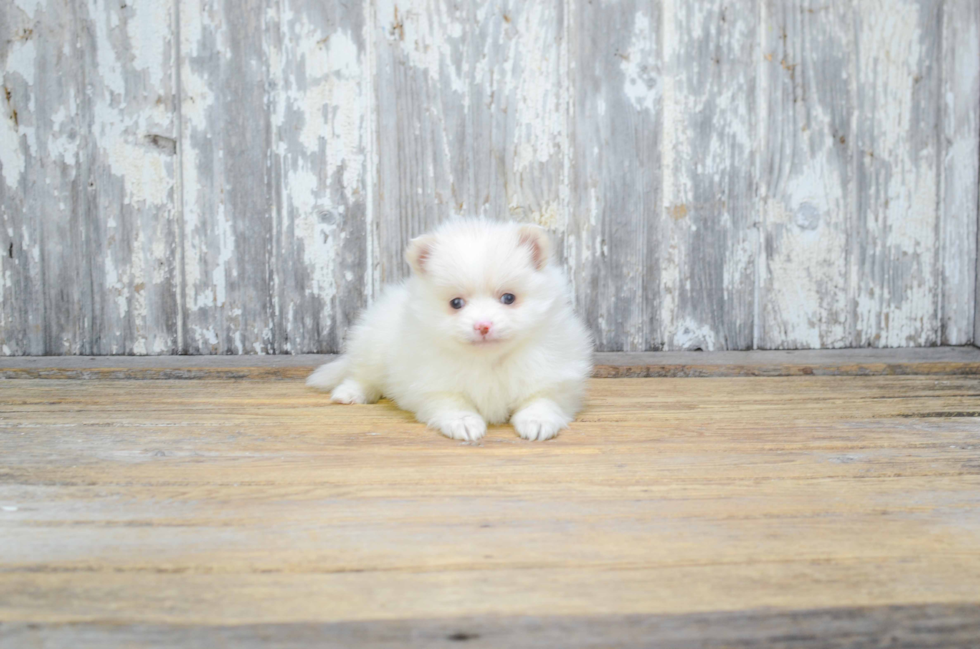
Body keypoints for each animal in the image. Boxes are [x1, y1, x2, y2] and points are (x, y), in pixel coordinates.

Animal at [306, 218, 592, 440]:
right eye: (456, 303)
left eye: (508, 298)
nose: (483, 325)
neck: (489, 361)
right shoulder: (432, 383)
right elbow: (452, 402)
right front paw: (464, 423)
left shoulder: (553, 376)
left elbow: (542, 400)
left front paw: (537, 421)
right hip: (373, 347)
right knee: (363, 375)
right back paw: (350, 393)